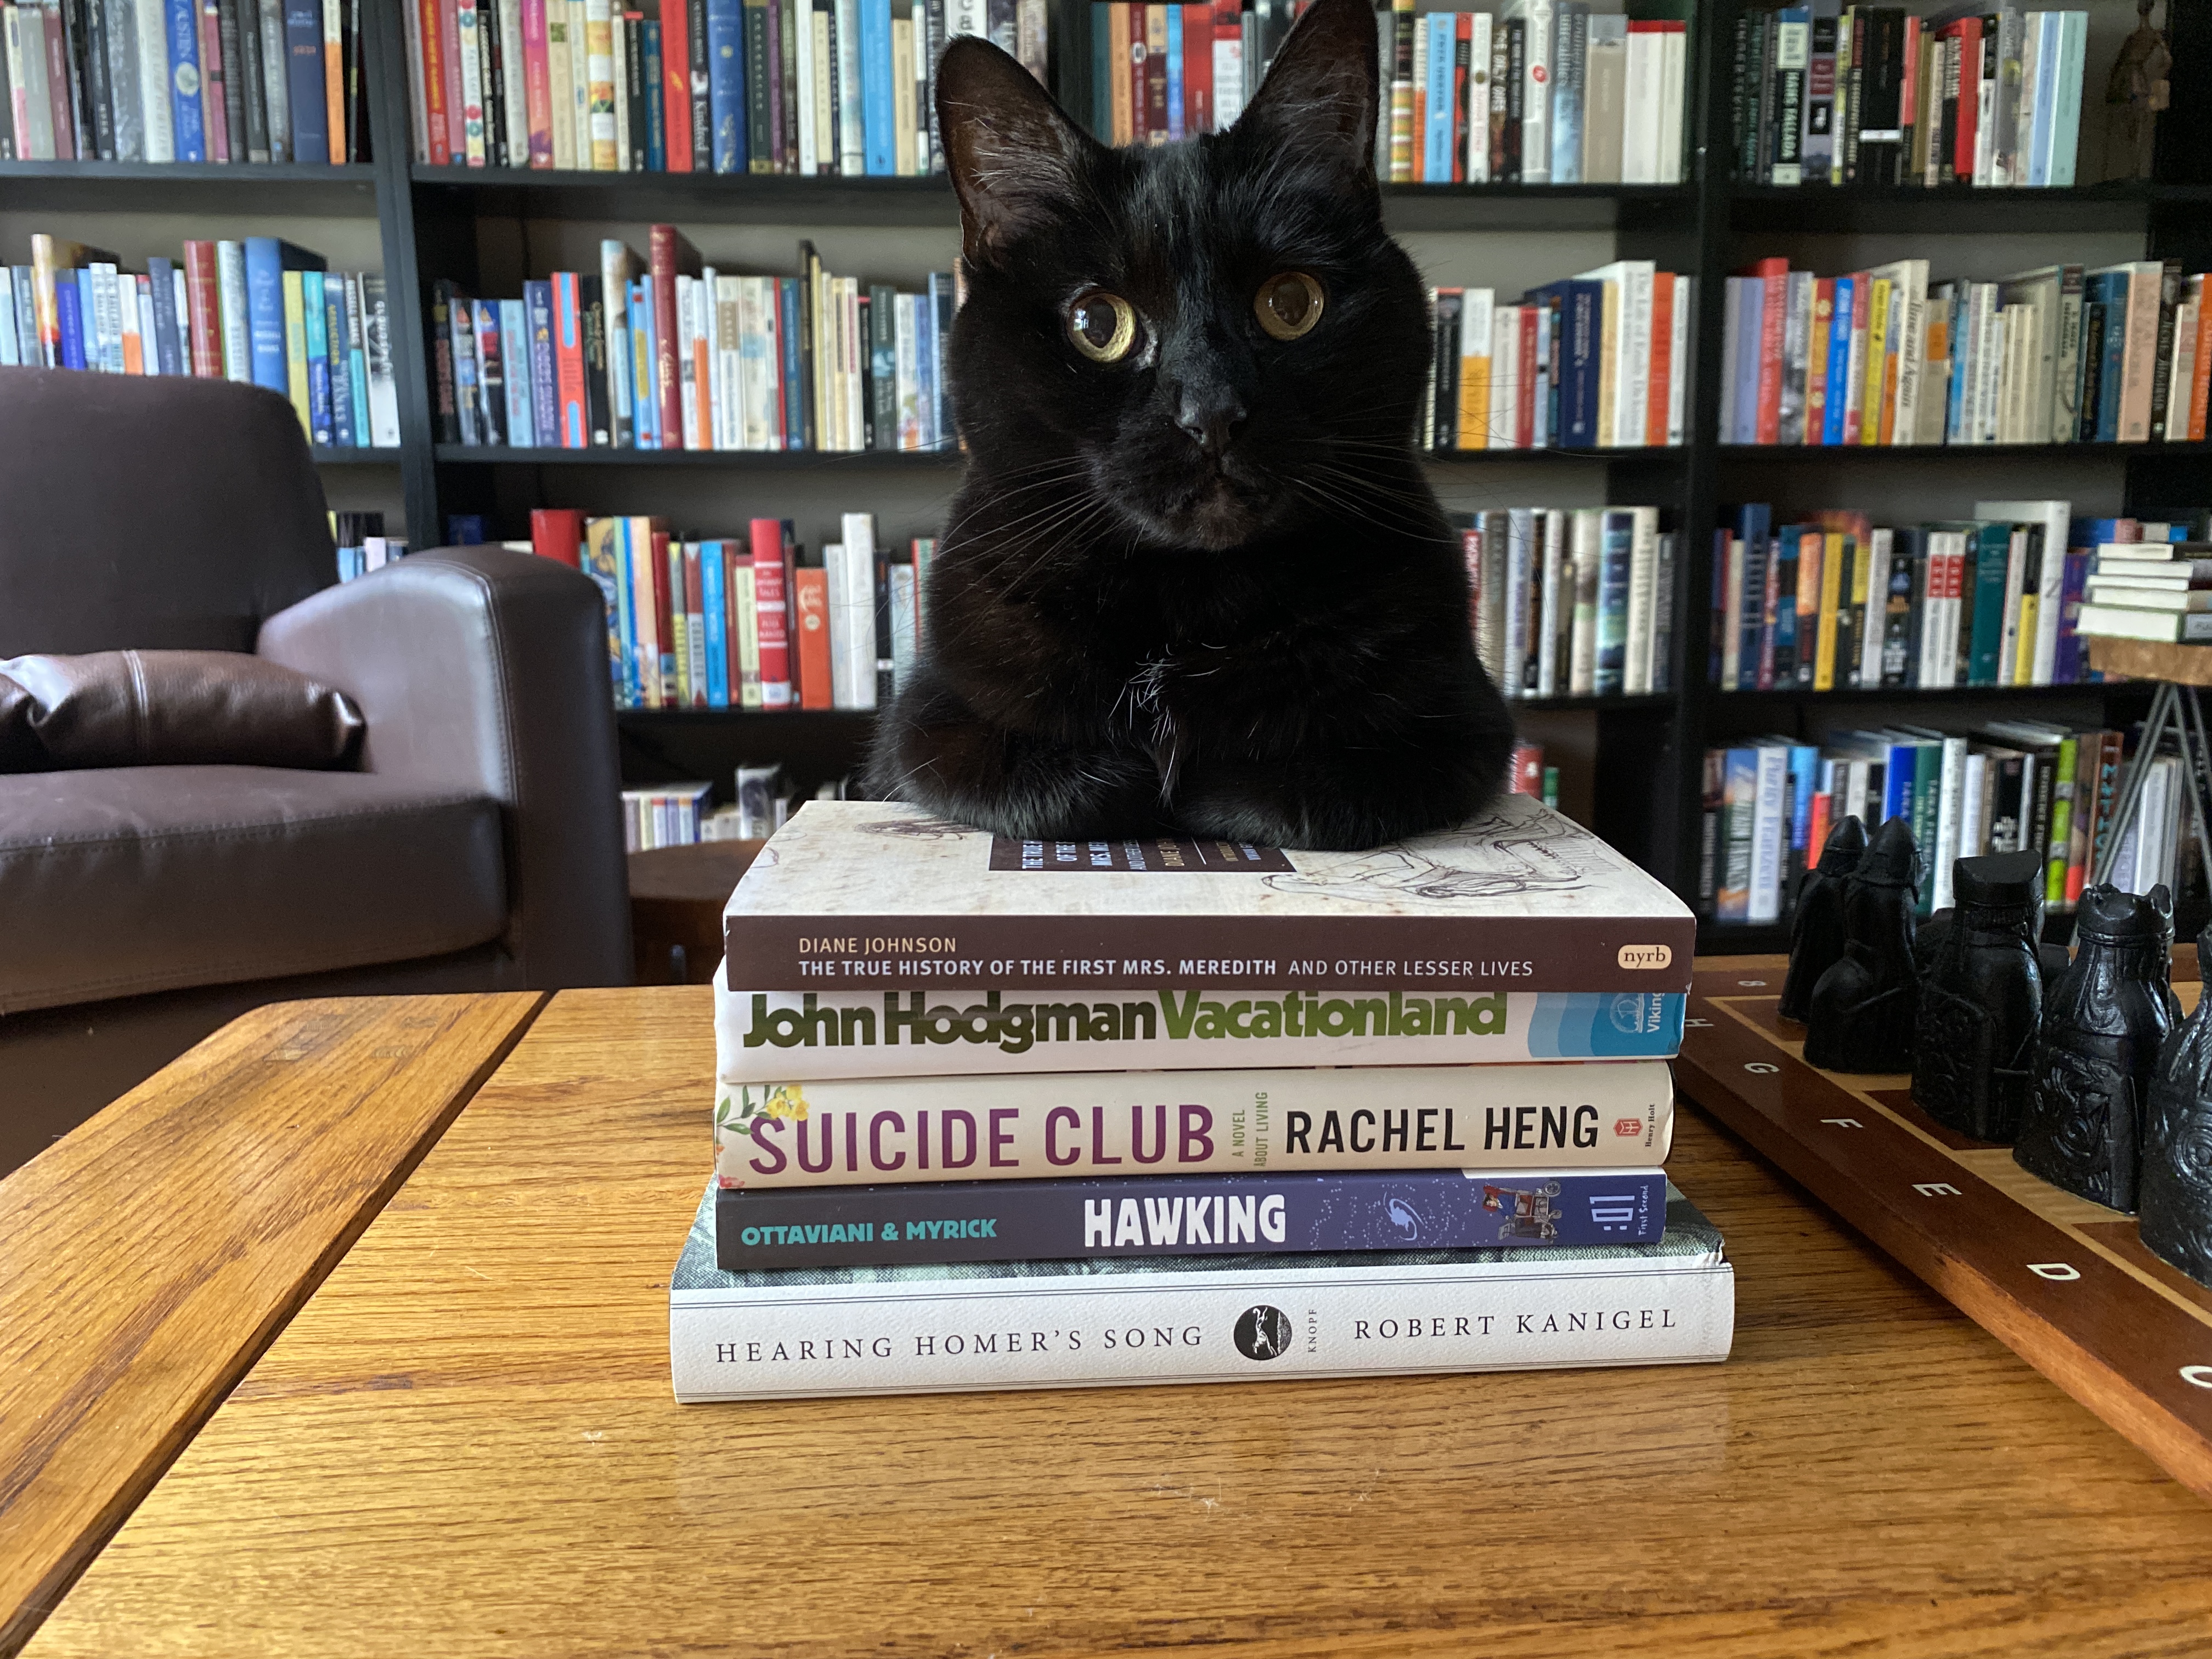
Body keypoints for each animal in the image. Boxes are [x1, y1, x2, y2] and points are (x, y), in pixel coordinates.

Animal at [864, 0, 1516, 851]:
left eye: (1291, 303)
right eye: (1097, 323)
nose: (1212, 413)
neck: (1189, 605)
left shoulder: (1465, 730)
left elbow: (1297, 790)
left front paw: (1202, 786)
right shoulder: (922, 730)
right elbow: (1057, 788)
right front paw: (1142, 781)